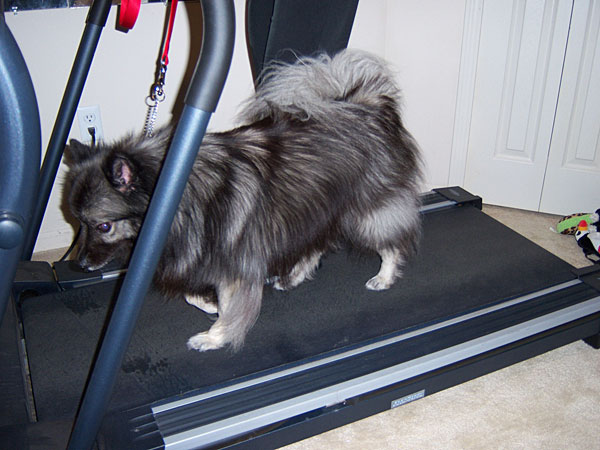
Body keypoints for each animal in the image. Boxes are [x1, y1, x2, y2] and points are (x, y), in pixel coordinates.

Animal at [64, 49, 422, 352]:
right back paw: (293, 277)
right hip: (311, 207)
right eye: (78, 223)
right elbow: (195, 296)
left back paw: (384, 276)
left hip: (364, 211)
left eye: (103, 226)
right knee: (316, 245)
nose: (79, 265)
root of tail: (366, 104)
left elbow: (231, 307)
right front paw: (210, 306)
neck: (178, 198)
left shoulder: (233, 263)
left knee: (391, 243)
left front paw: (215, 337)